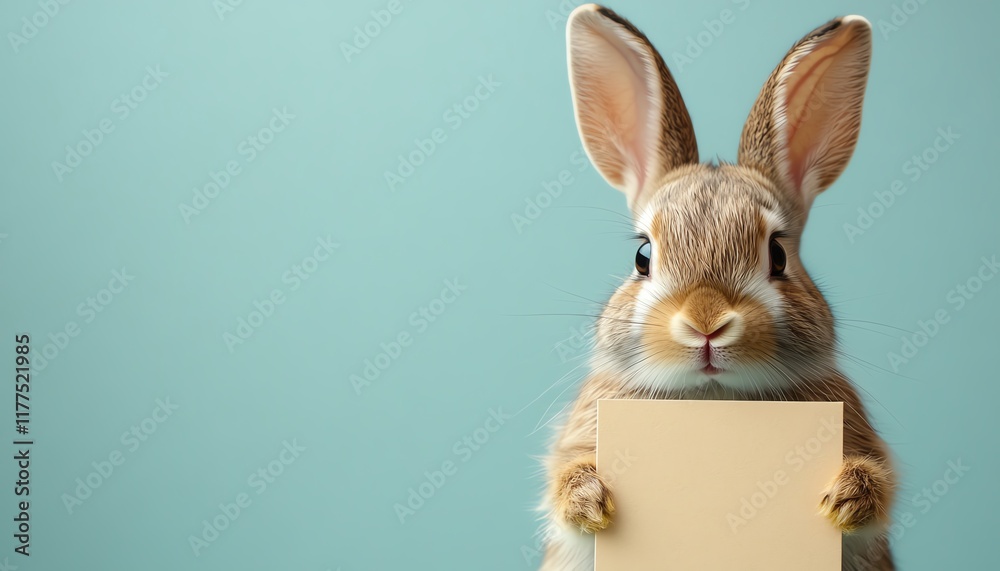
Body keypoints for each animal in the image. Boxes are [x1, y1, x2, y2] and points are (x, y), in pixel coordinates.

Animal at [538, 4, 896, 571]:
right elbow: (565, 486)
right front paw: (592, 503)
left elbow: (876, 487)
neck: (713, 399)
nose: (705, 324)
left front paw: (845, 500)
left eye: (778, 256)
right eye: (642, 257)